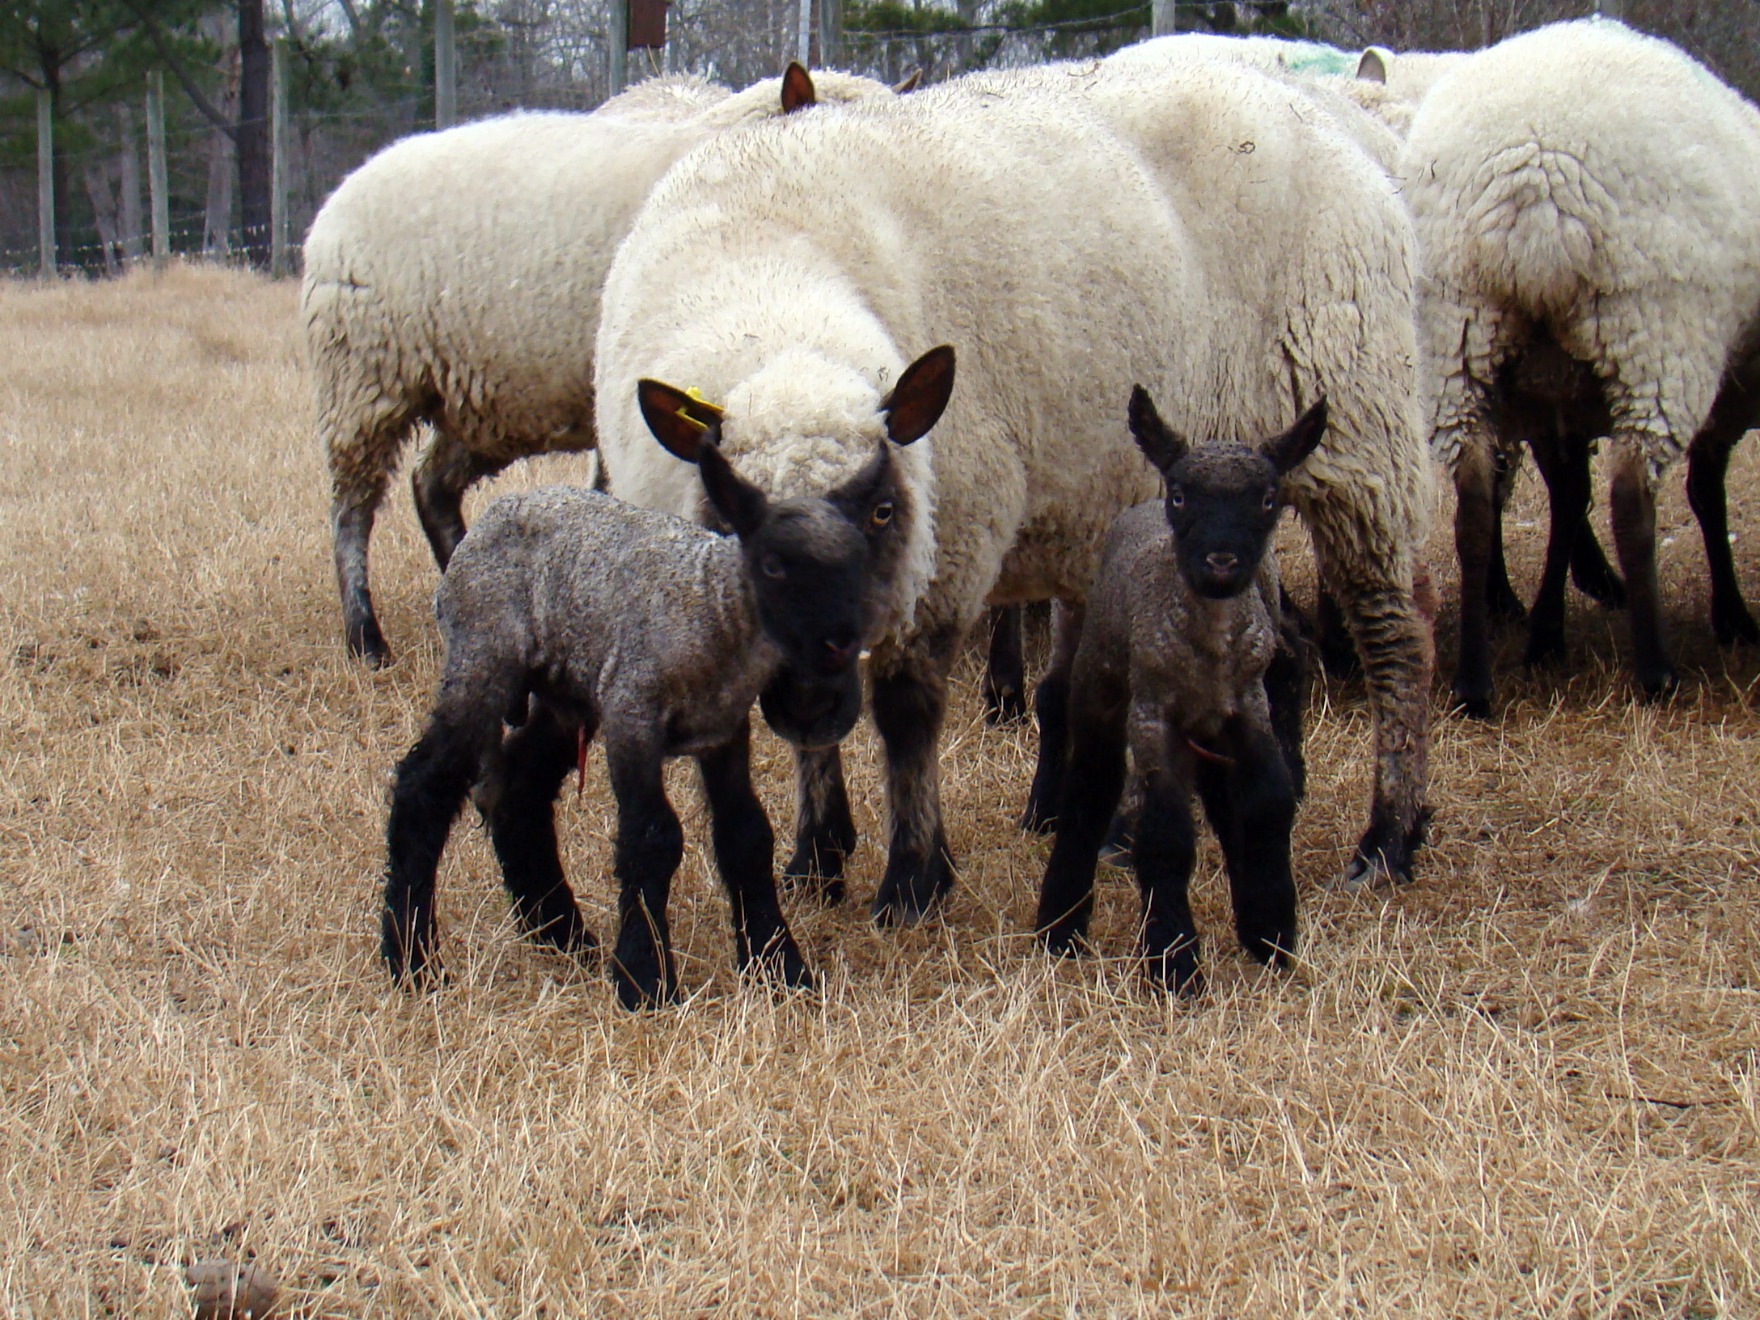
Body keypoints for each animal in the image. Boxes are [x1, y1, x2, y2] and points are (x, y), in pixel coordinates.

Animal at [302, 63, 894, 667]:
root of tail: (347, 186)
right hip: (363, 379)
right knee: (351, 509)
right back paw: (365, 637)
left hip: (476, 398)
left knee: (431, 485)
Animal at [378, 367, 944, 1008]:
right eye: (773, 565)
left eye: (855, 560)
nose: (839, 646)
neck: (714, 610)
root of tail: (494, 515)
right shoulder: (634, 712)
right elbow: (652, 836)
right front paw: (645, 979)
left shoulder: (724, 728)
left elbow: (747, 834)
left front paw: (779, 966)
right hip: (483, 658)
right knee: (424, 784)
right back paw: (414, 960)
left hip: (564, 686)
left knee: (517, 786)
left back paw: (562, 935)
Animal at [594, 52, 1435, 925]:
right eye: (731, 524)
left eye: (884, 511)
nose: (809, 706)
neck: (769, 280)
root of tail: (1324, 111)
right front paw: (818, 856)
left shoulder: (951, 542)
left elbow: (907, 714)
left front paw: (913, 880)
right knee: (1262, 646)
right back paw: (1220, 806)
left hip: (1360, 427)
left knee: (1397, 634)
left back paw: (1388, 837)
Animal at [1034, 388, 1323, 994]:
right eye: (1183, 496)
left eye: (1267, 499)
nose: (1221, 561)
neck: (1208, 644)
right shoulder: (1153, 714)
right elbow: (1165, 835)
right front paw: (1174, 963)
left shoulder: (1247, 705)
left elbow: (1267, 802)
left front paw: (1272, 929)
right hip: (1101, 692)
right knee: (1089, 791)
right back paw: (1060, 927)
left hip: (1207, 730)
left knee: (1221, 801)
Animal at [1402, 18, 1760, 713]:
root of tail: (1533, 176)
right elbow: (1698, 494)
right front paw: (1733, 617)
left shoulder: (1550, 400)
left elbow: (1569, 500)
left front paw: (1547, 632)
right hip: (1654, 337)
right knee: (1633, 504)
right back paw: (1655, 672)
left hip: (1458, 339)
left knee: (1475, 510)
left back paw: (1474, 684)